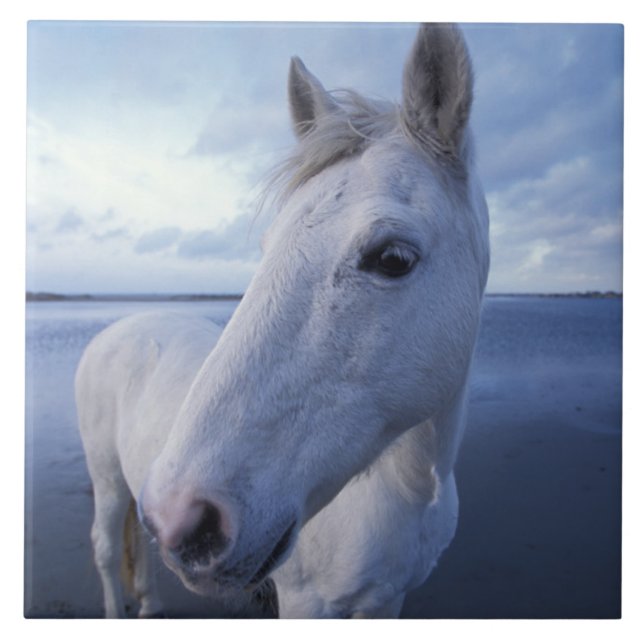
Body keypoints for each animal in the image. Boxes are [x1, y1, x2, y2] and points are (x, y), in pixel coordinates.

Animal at [75, 22, 489, 618]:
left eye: (393, 258)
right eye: (268, 245)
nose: (184, 519)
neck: (407, 488)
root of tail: (119, 328)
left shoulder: (389, 599)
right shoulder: (304, 603)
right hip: (106, 479)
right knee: (108, 551)